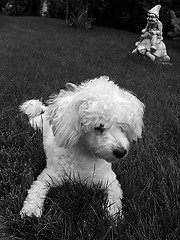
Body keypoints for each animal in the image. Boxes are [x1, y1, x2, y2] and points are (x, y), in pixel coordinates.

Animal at [19, 76, 145, 218]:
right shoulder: (50, 175)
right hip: (37, 122)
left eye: (122, 126)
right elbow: (37, 188)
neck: (86, 157)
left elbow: (115, 196)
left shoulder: (109, 179)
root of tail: (48, 109)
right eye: (98, 127)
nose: (121, 152)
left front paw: (114, 215)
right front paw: (31, 210)